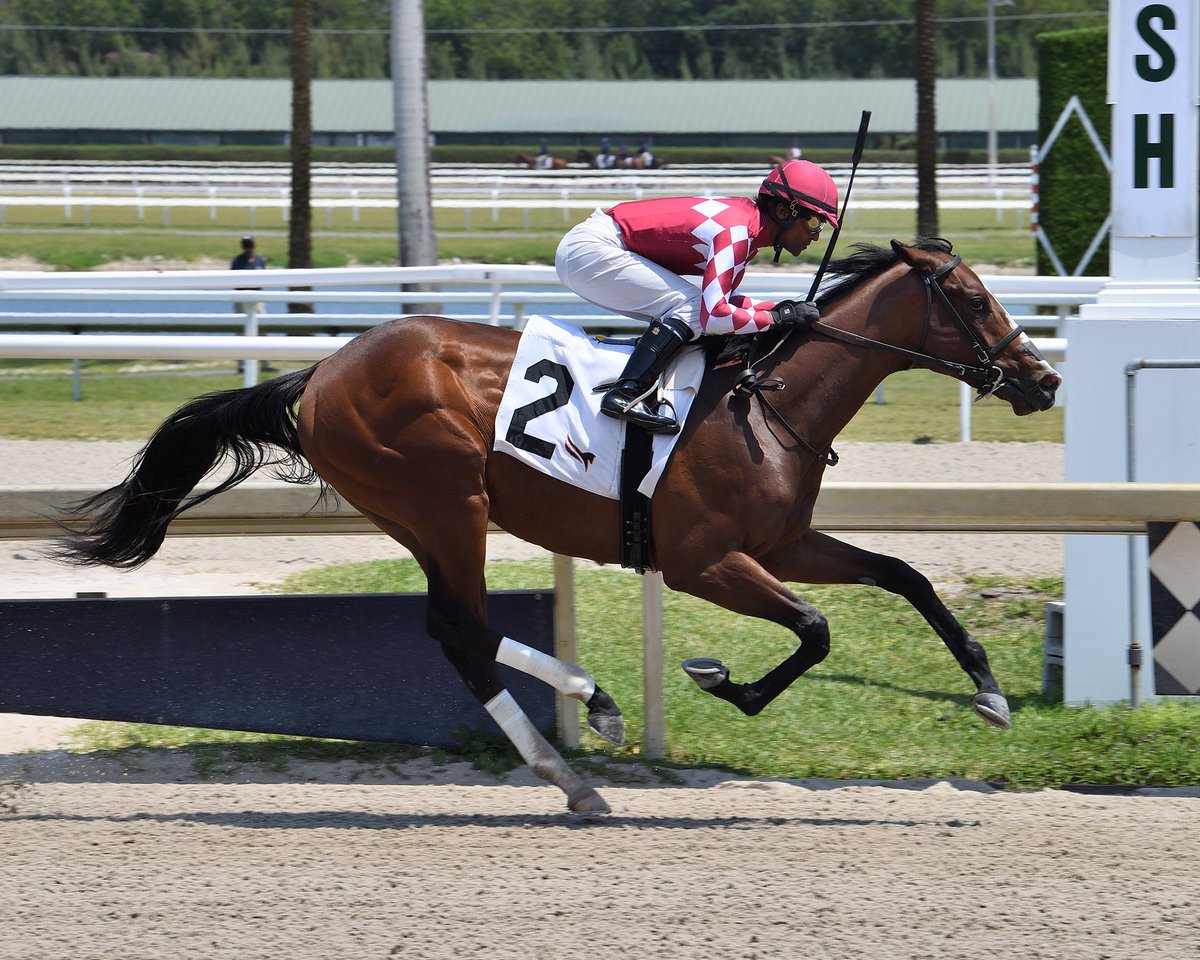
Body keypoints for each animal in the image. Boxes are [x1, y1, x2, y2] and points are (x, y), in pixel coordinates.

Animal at [58, 237, 1060, 811]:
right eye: (974, 300)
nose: (1043, 379)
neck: (769, 398)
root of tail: (320, 373)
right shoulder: (704, 560)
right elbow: (814, 631)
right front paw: (723, 682)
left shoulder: (782, 543)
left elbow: (904, 575)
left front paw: (990, 691)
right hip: (447, 502)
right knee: (461, 626)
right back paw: (587, 719)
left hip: (423, 516)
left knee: (457, 633)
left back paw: (574, 761)